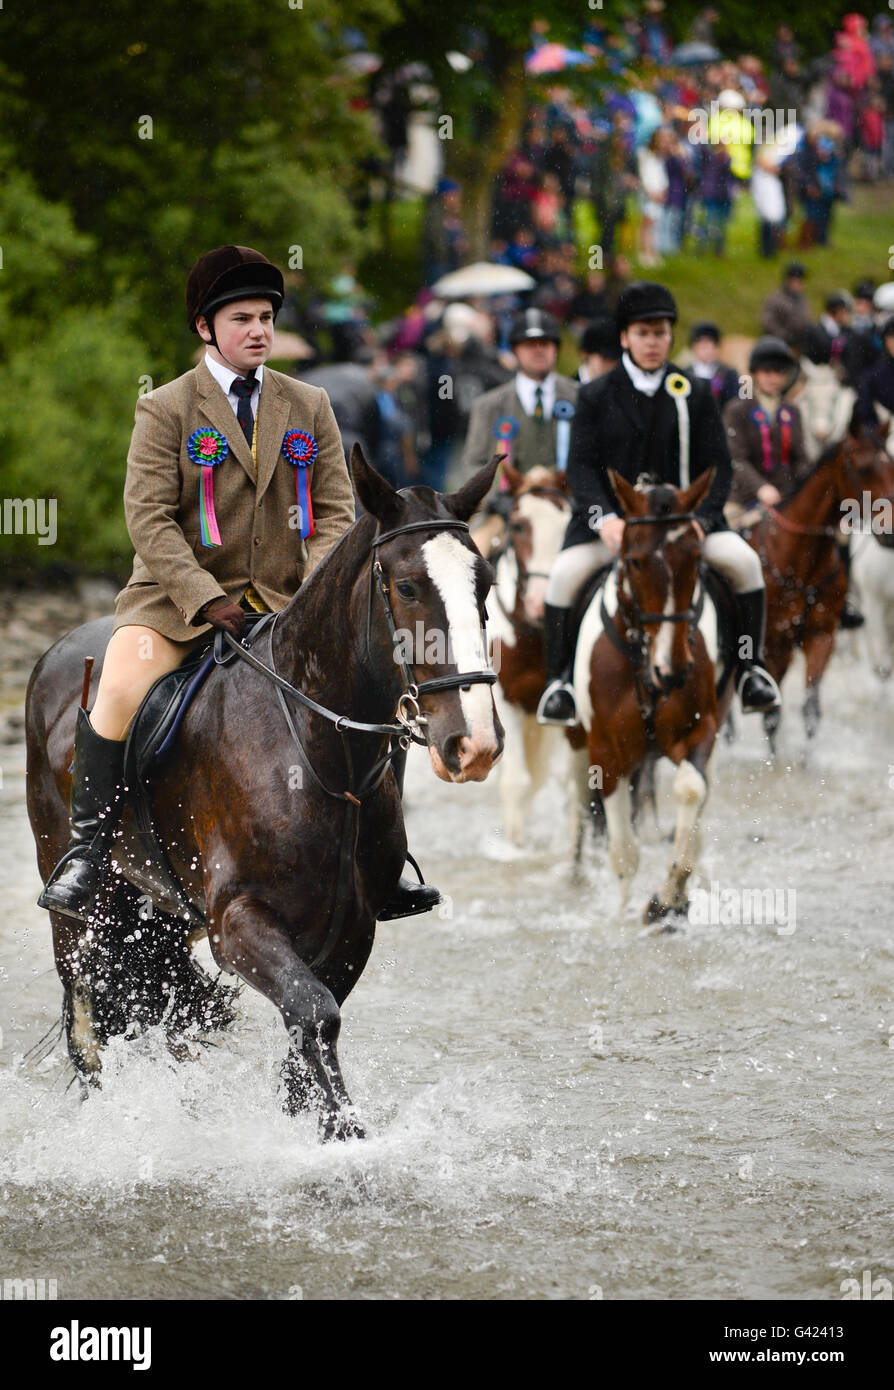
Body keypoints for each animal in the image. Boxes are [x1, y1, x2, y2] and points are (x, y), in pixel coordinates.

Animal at [26, 453, 503, 1139]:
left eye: (484, 585)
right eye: (409, 588)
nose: (476, 744)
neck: (315, 747)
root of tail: (53, 657)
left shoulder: (352, 928)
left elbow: (310, 1029)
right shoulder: (239, 920)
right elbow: (315, 1014)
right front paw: (345, 1139)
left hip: (161, 912)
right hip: (80, 915)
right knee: (90, 1025)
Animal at [567, 472, 734, 928]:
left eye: (694, 559)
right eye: (638, 561)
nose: (673, 670)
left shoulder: (700, 730)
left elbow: (692, 791)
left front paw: (669, 895)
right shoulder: (605, 751)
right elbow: (623, 854)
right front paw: (622, 911)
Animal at [745, 419, 894, 750]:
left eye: (891, 466)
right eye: (863, 469)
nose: (891, 532)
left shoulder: (821, 636)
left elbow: (811, 709)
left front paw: (807, 757)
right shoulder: (774, 644)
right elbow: (771, 715)